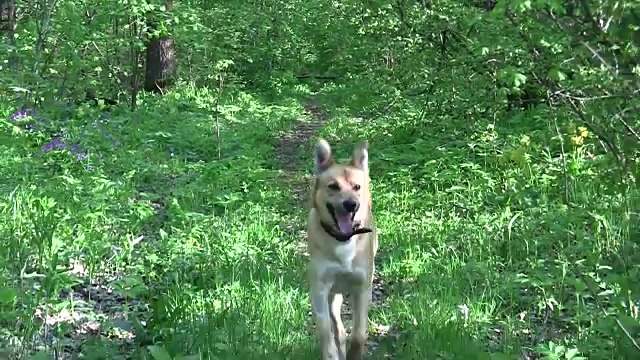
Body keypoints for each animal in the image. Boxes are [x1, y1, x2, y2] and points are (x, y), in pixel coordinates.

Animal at [308, 139, 378, 360]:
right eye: (333, 186)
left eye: (357, 187)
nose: (351, 204)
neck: (343, 240)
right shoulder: (320, 289)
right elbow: (325, 331)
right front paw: (332, 353)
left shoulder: (362, 288)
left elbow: (359, 334)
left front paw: (355, 353)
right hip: (332, 293)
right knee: (337, 327)